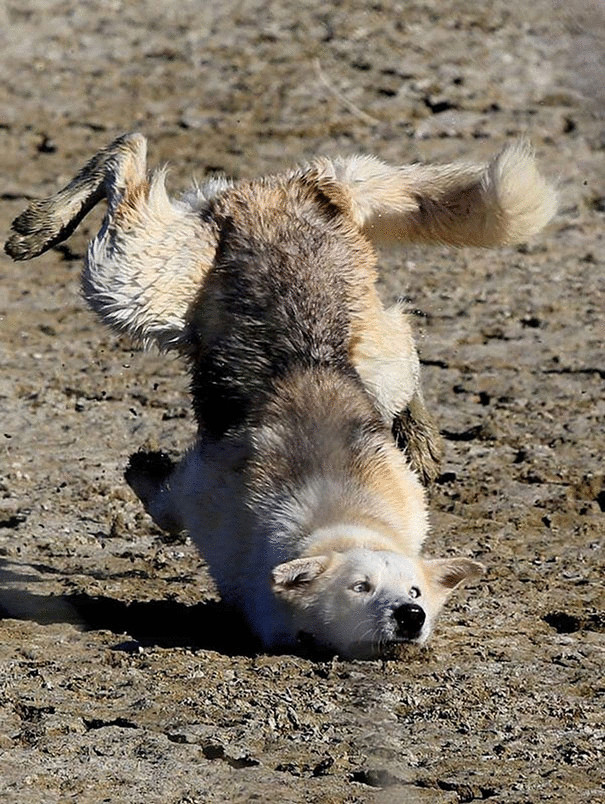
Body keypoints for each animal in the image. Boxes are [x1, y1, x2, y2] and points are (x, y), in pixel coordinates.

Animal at [4, 133, 556, 660]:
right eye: (361, 586)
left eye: (415, 592)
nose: (409, 616)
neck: (343, 516)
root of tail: (310, 186)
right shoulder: (199, 492)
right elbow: (162, 503)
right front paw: (143, 467)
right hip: (134, 284)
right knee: (127, 159)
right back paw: (38, 227)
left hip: (368, 355)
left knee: (402, 338)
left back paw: (420, 437)